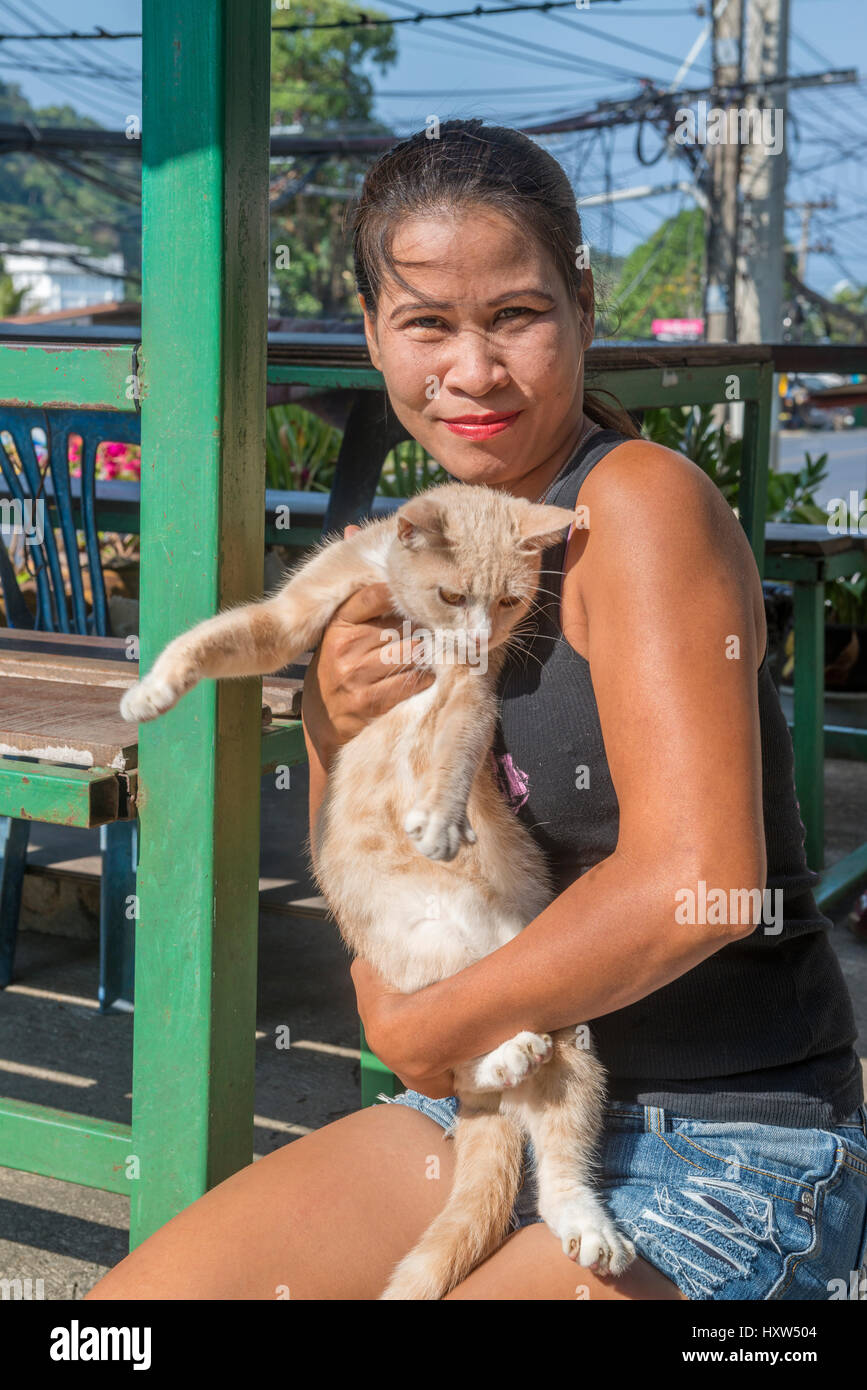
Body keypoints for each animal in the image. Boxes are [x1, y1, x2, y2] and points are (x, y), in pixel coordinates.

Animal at [120, 483, 636, 1295]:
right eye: (454, 593)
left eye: (511, 600)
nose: (481, 635)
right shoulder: (294, 614)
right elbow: (215, 638)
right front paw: (152, 691)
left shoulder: (471, 689)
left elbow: (454, 746)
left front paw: (441, 819)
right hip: (427, 963)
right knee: (465, 1061)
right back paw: (508, 1060)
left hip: (568, 1031)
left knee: (556, 1157)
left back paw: (587, 1221)